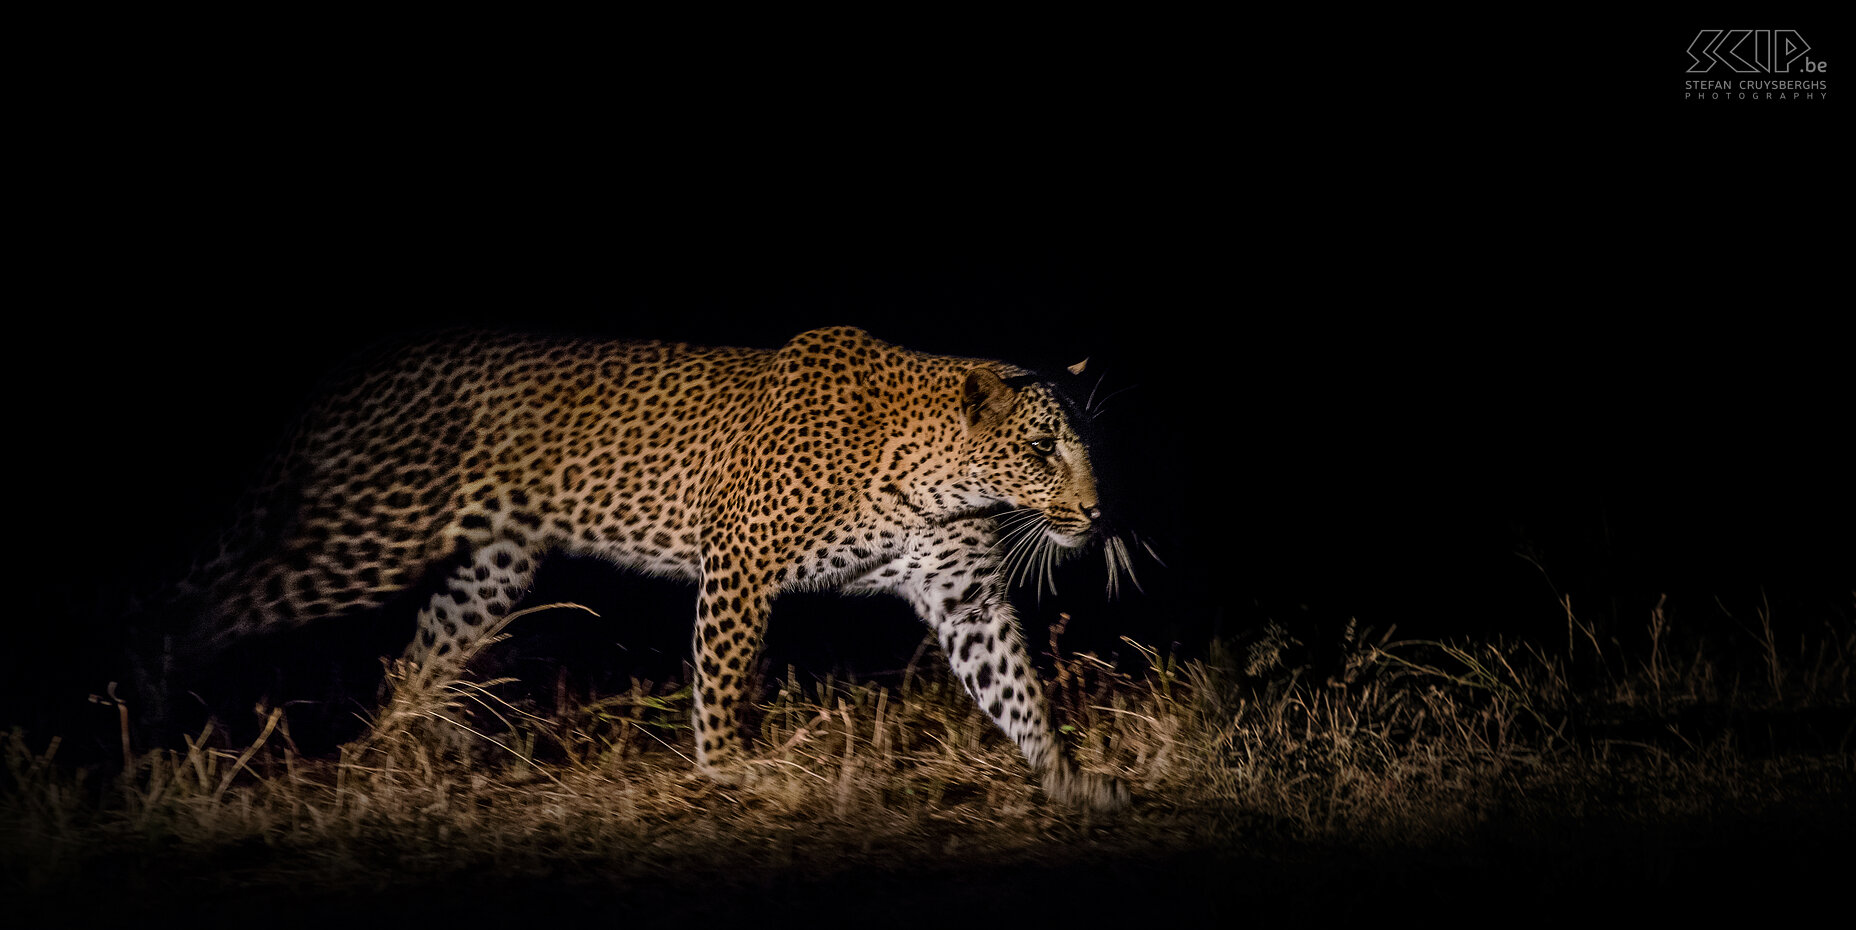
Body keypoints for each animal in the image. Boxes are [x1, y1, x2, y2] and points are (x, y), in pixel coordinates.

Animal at [144, 322, 1128, 809]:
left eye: (1085, 444)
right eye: (1042, 449)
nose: (1097, 513)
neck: (939, 482)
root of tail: (352, 369)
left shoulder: (963, 596)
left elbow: (1015, 687)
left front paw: (1067, 780)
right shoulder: (741, 558)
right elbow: (723, 677)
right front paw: (728, 770)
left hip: (489, 569)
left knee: (414, 660)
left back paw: (406, 755)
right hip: (366, 535)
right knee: (215, 601)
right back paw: (152, 716)